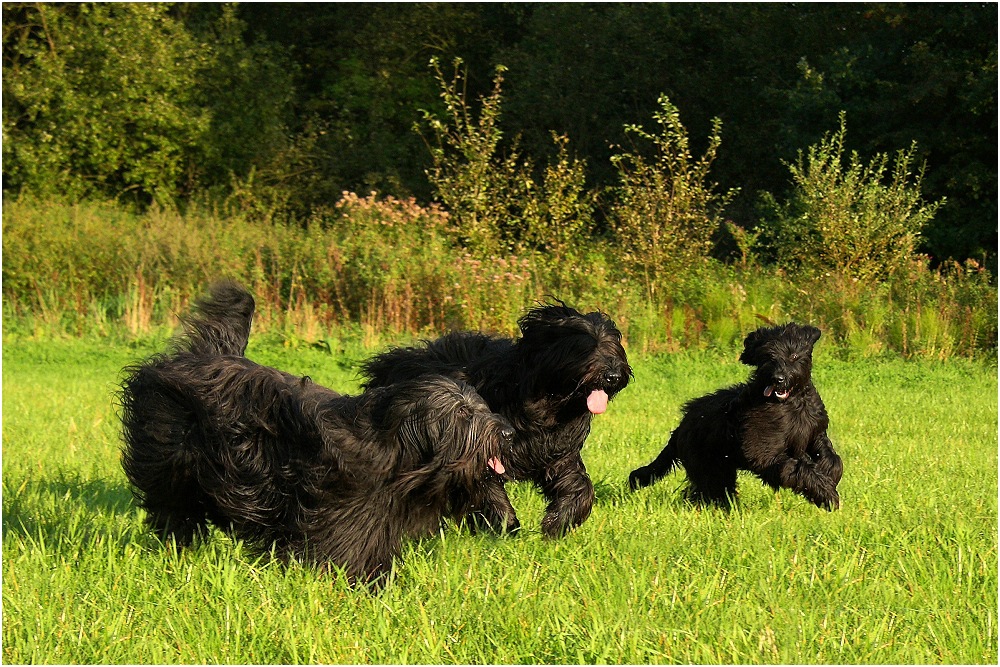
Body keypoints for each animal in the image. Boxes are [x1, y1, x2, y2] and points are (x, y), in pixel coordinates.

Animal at [119, 284, 516, 588]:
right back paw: (177, 542)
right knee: (173, 505)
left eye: (481, 405)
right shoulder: (340, 507)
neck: (392, 446)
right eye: (463, 413)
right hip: (171, 453)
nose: (509, 432)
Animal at [628, 324, 840, 512]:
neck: (792, 404)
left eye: (794, 356)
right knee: (710, 491)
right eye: (769, 357)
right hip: (710, 468)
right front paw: (827, 494)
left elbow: (831, 456)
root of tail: (680, 428)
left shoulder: (815, 431)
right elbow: (797, 467)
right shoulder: (763, 452)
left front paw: (830, 474)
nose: (778, 378)